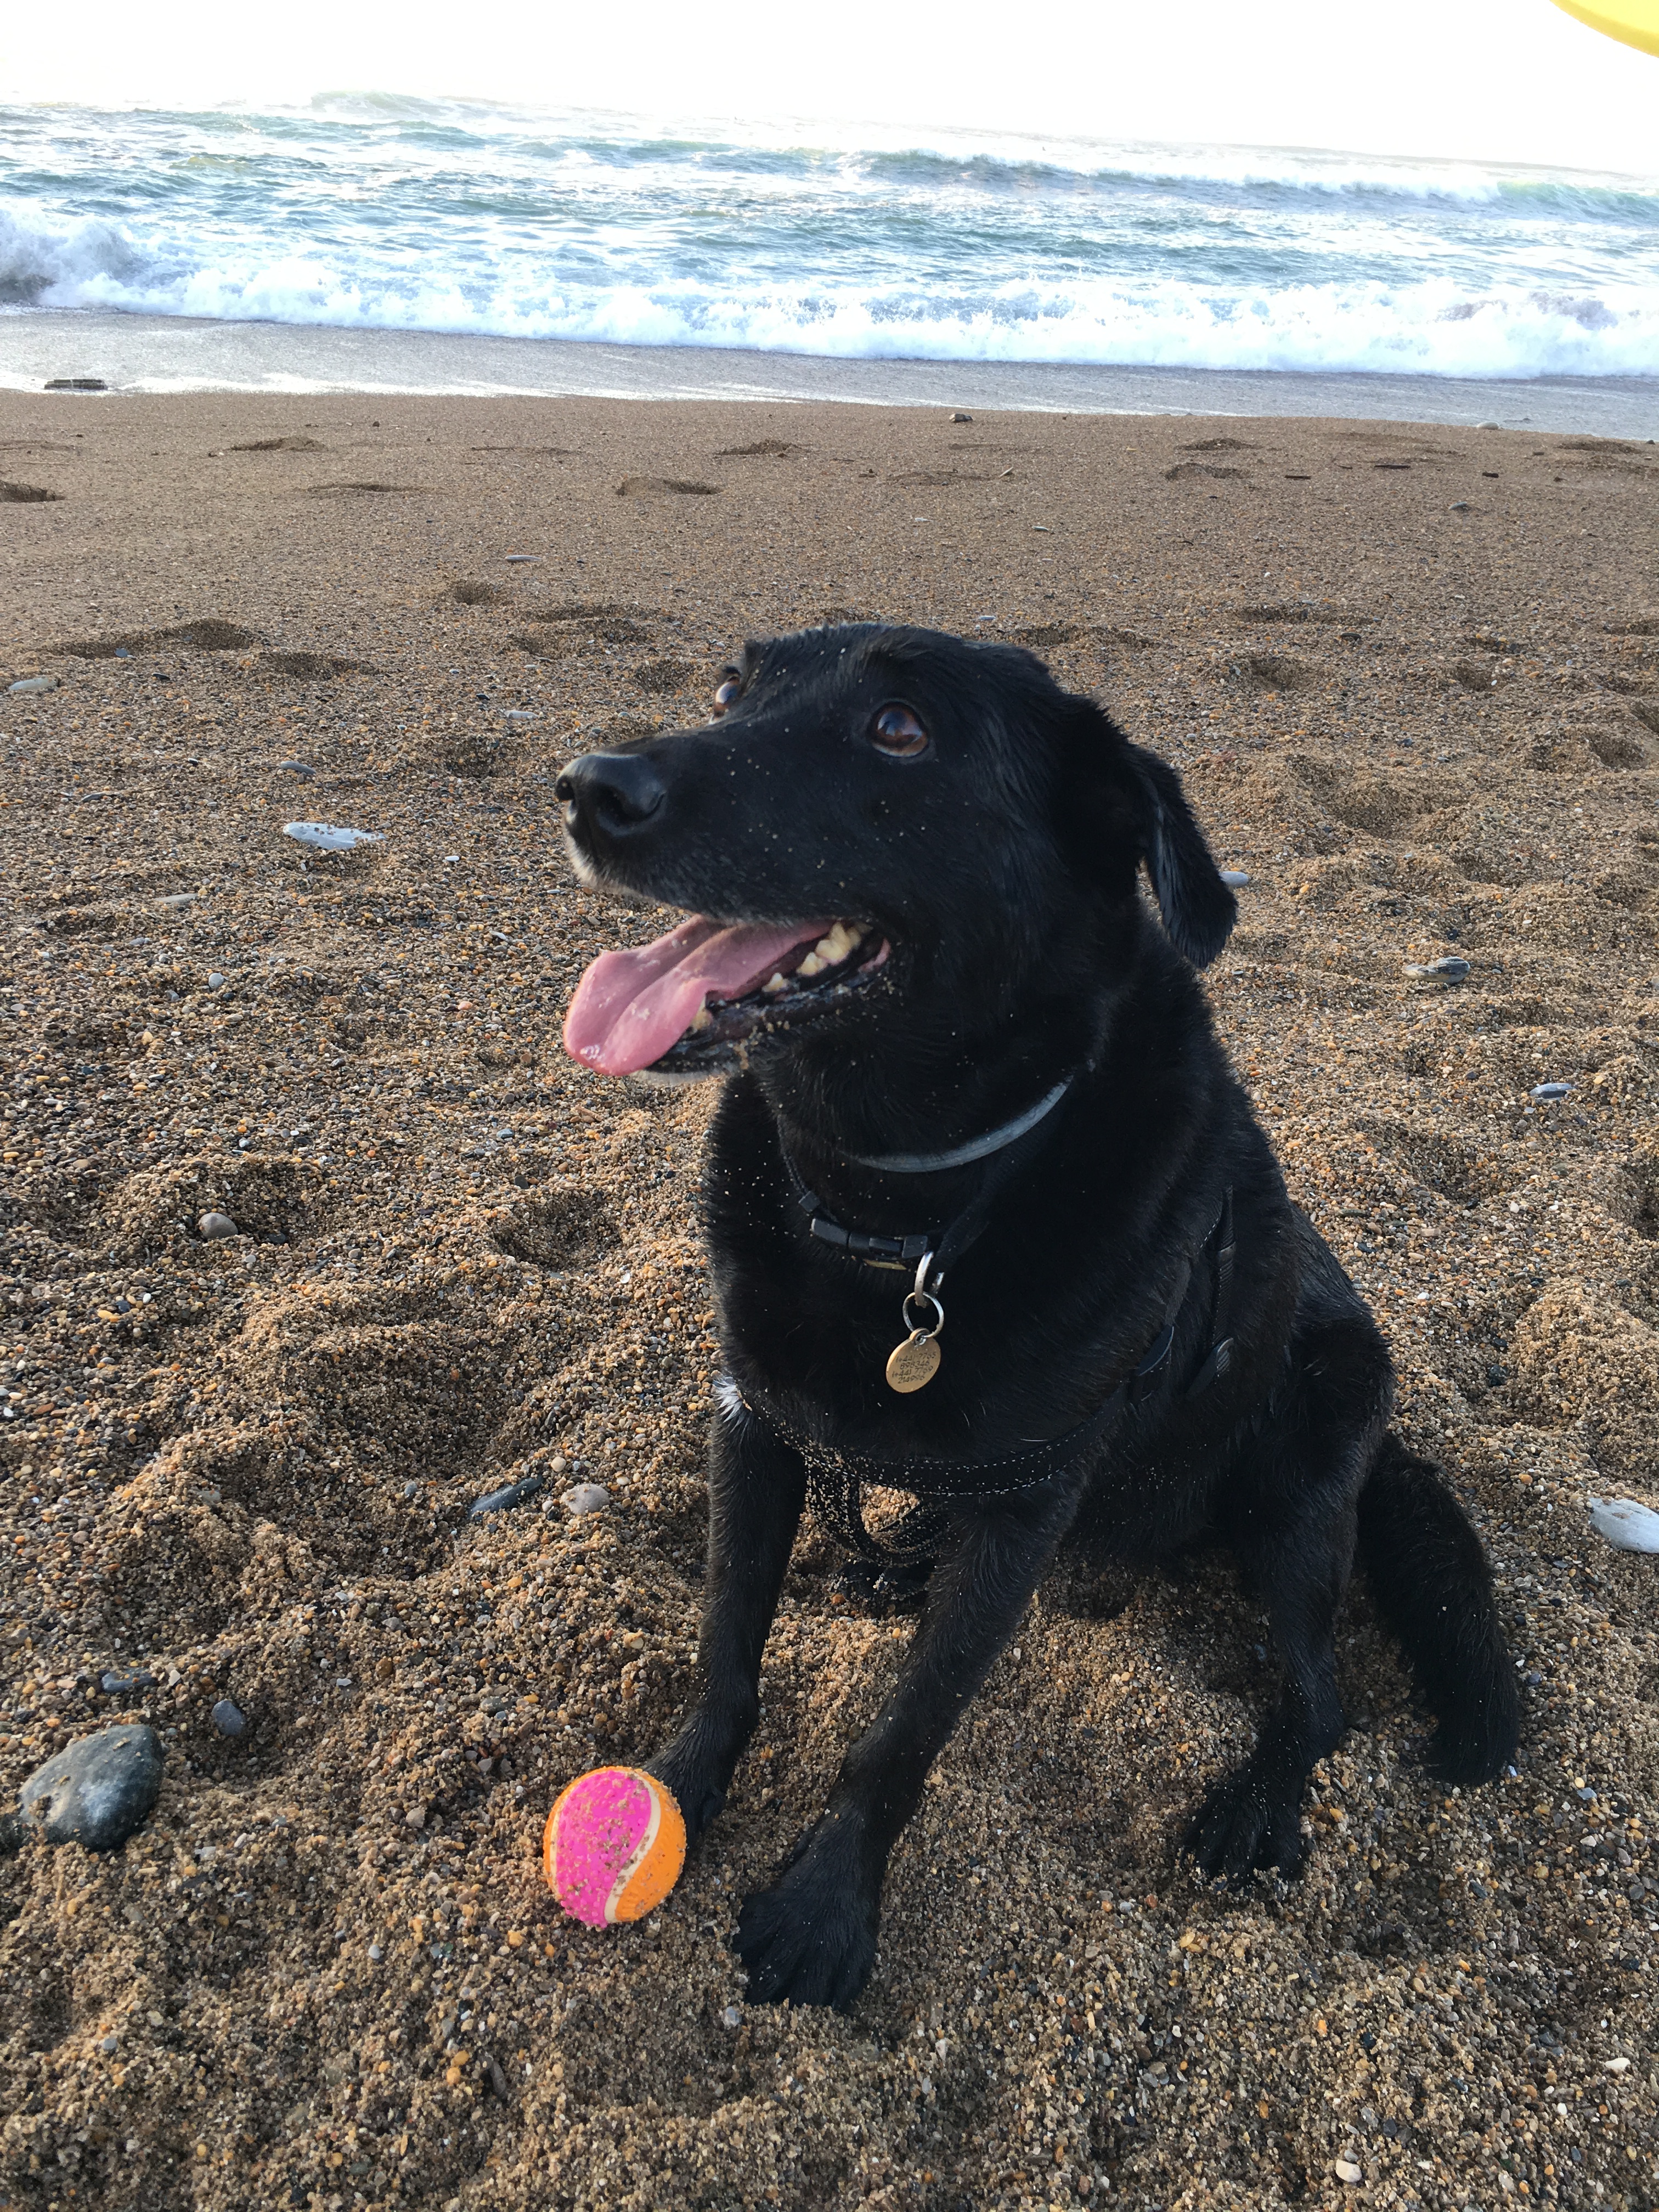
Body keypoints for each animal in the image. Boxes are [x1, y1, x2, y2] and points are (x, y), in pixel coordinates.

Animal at [554, 623, 1518, 2009]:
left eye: (900, 729)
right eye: (731, 689)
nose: (588, 789)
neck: (905, 1207)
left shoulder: (1024, 1506)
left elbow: (905, 1732)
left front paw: (826, 1907)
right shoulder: (755, 1423)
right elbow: (727, 1644)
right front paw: (675, 1795)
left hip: (1295, 1493)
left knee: (1321, 1698)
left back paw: (1255, 1806)